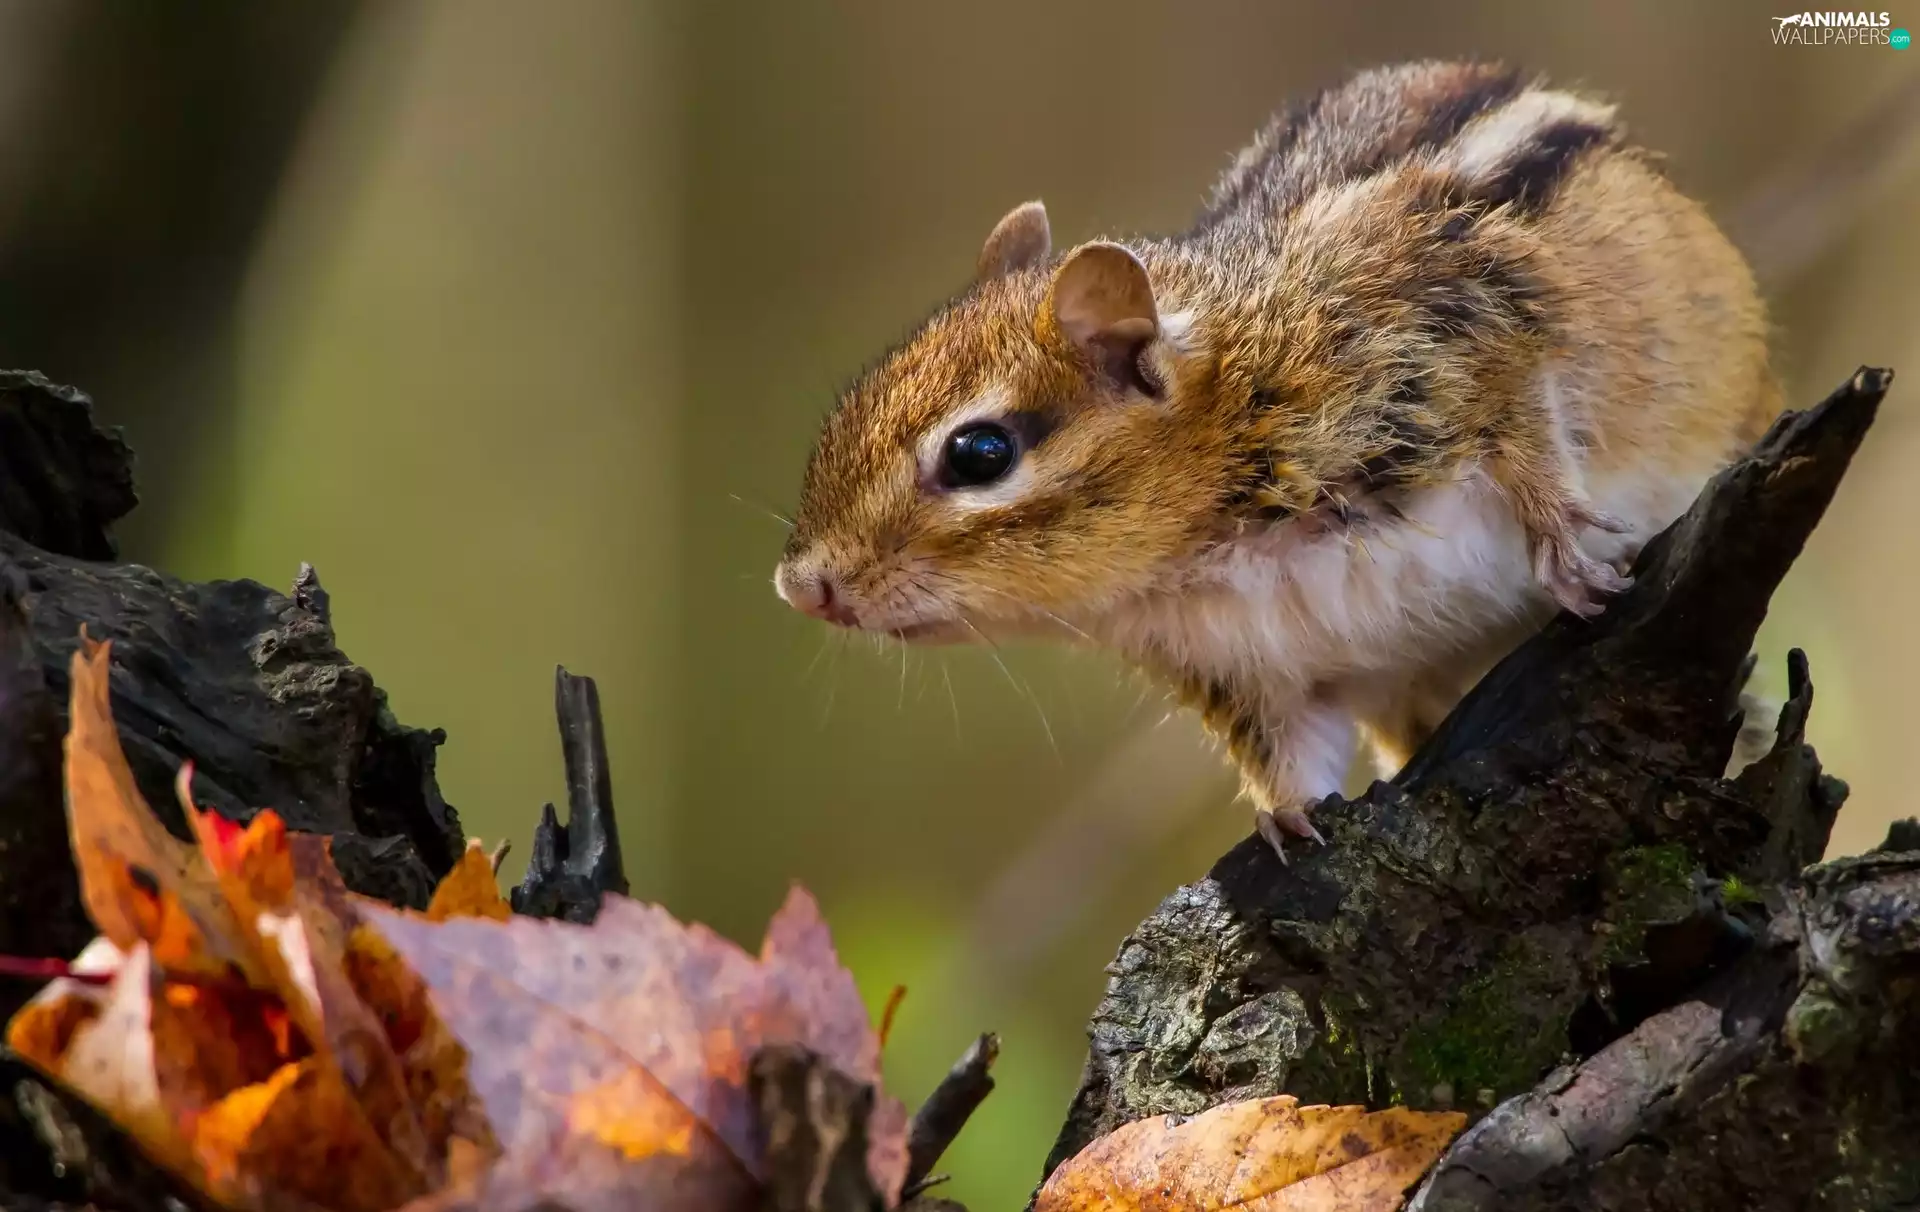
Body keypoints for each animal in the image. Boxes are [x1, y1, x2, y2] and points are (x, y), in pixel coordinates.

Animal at [772, 60, 1781, 860]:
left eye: (980, 452)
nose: (803, 587)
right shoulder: (1257, 673)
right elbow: (1293, 753)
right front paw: (1288, 818)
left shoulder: (1470, 330)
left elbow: (1527, 422)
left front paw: (1568, 553)